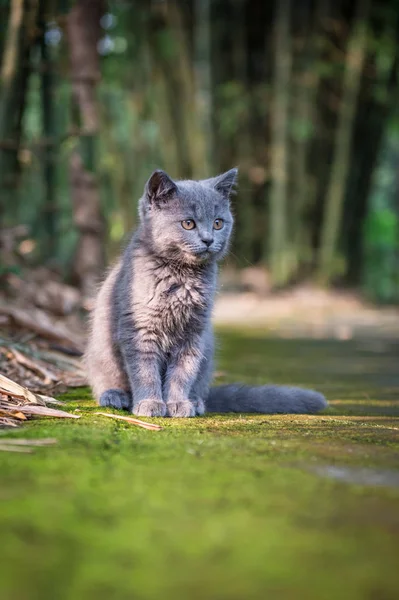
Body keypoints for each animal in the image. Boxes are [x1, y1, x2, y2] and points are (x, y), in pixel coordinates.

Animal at [85, 169, 328, 418]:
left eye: (218, 223)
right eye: (188, 223)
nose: (209, 239)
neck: (182, 277)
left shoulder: (194, 332)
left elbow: (183, 372)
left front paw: (178, 403)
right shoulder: (139, 328)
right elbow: (144, 370)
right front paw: (150, 403)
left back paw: (196, 401)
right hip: (100, 350)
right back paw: (115, 395)